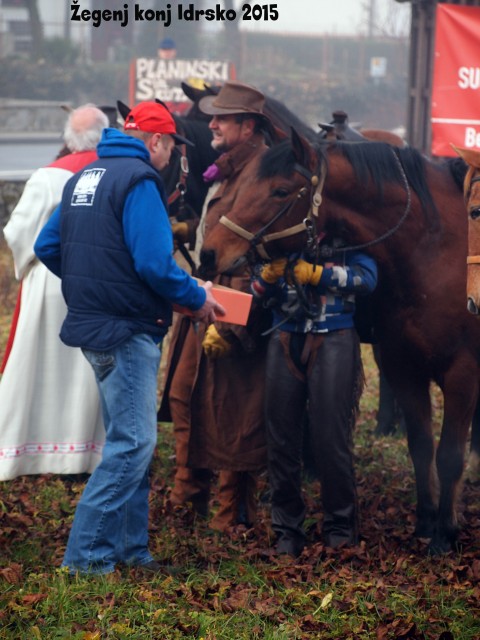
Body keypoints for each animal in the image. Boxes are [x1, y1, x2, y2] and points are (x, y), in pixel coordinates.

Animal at [199, 131, 476, 556]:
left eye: (281, 191)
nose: (210, 251)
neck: (437, 251)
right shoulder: (402, 366)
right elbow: (421, 446)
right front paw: (426, 522)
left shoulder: (462, 371)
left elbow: (448, 456)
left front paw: (445, 534)